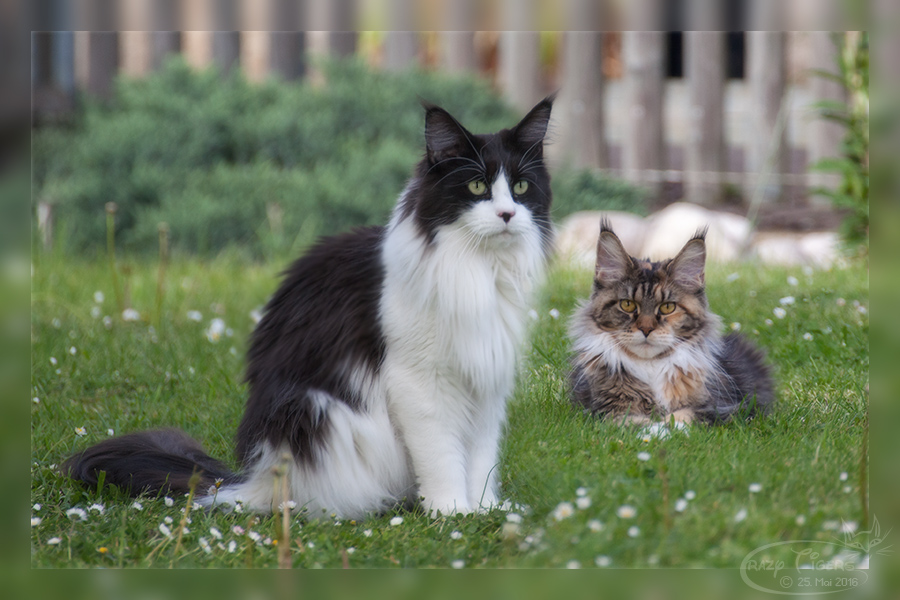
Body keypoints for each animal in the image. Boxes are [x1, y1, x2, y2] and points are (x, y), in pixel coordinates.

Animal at [64, 97, 555, 519]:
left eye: (520, 187)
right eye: (476, 186)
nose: (508, 215)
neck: (480, 272)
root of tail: (256, 479)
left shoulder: (486, 381)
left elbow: (481, 458)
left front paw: (487, 510)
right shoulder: (420, 383)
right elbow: (443, 457)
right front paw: (453, 514)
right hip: (323, 414)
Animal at [567, 221, 774, 425]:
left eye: (667, 307)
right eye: (627, 305)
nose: (646, 329)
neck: (650, 366)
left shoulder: (722, 407)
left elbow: (683, 416)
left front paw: (665, 428)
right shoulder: (604, 408)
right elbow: (631, 421)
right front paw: (652, 429)